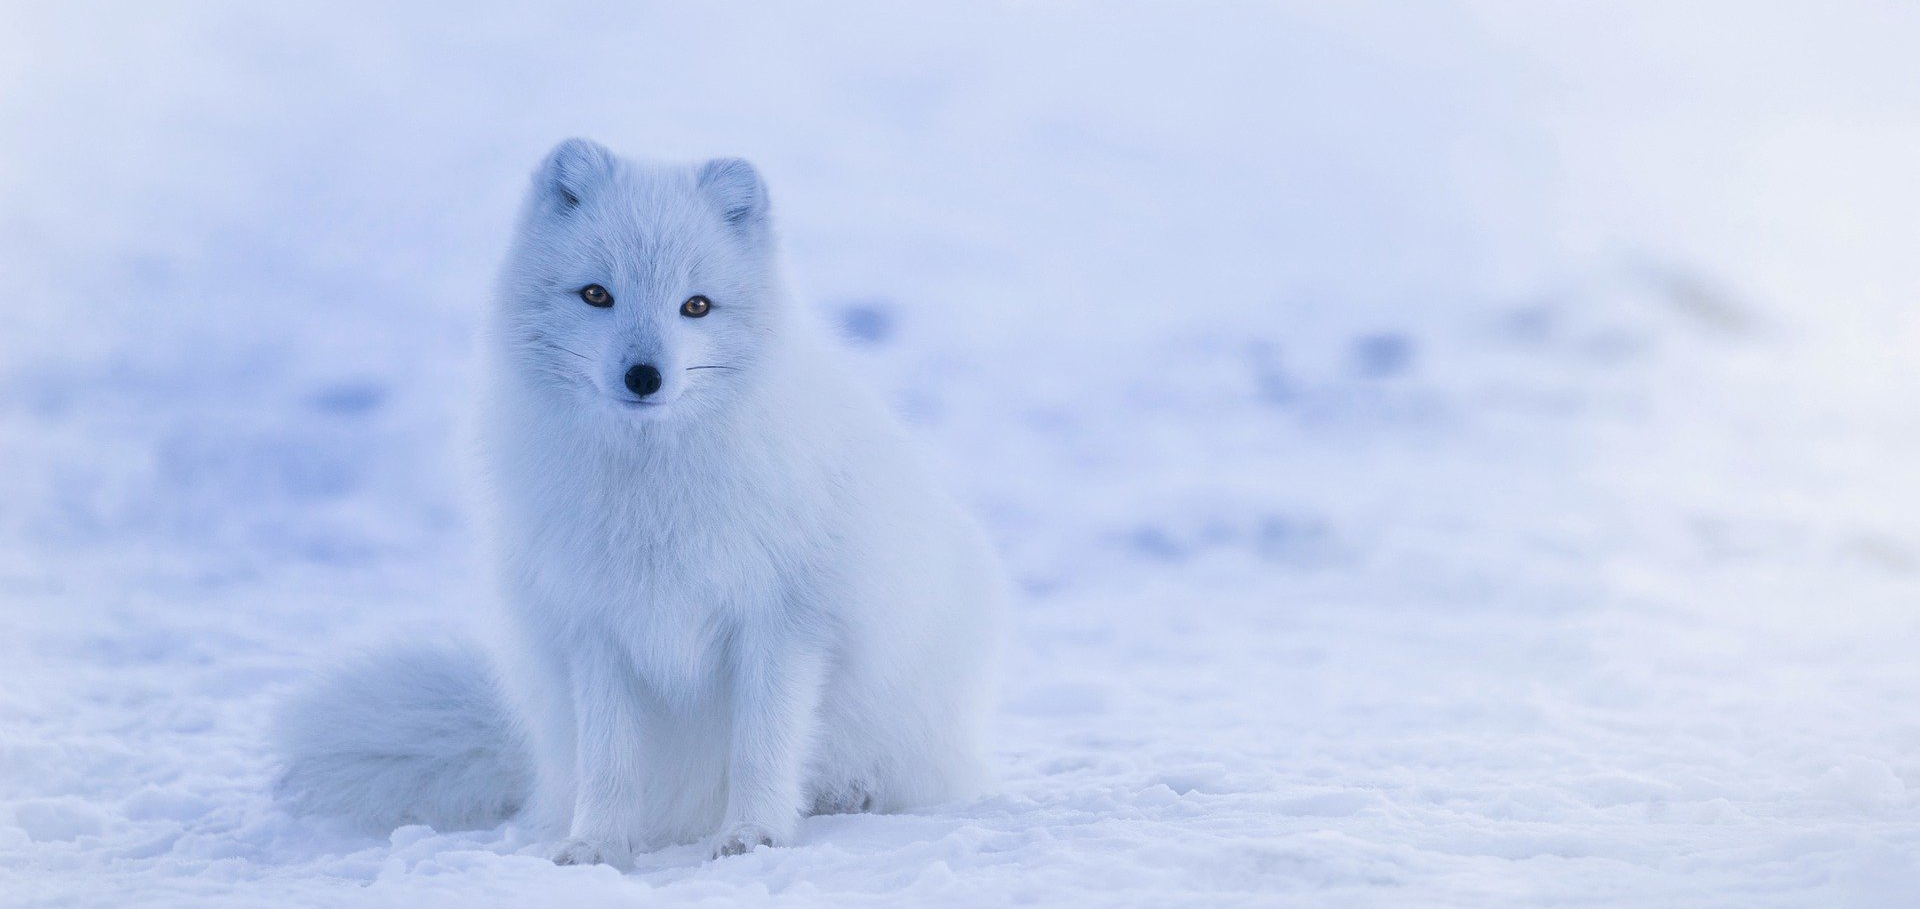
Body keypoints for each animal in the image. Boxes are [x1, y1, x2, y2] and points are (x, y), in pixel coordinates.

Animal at [280, 140, 1006, 864]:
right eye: (597, 294)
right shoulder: (596, 627)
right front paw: (596, 845)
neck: (651, 490)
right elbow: (609, 760)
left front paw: (752, 834)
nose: (644, 376)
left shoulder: (782, 621)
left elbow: (761, 748)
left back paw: (850, 795)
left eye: (697, 306)